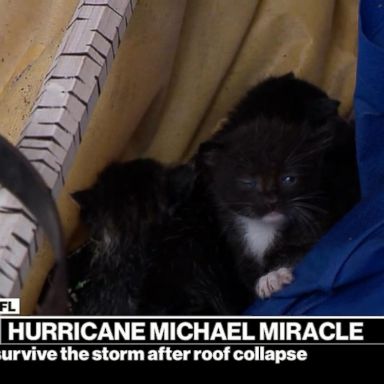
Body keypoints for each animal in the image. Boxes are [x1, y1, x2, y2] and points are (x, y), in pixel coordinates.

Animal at [195, 73, 360, 300]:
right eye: (249, 182)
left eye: (288, 179)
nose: (271, 199)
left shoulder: (320, 220)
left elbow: (302, 252)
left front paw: (272, 277)